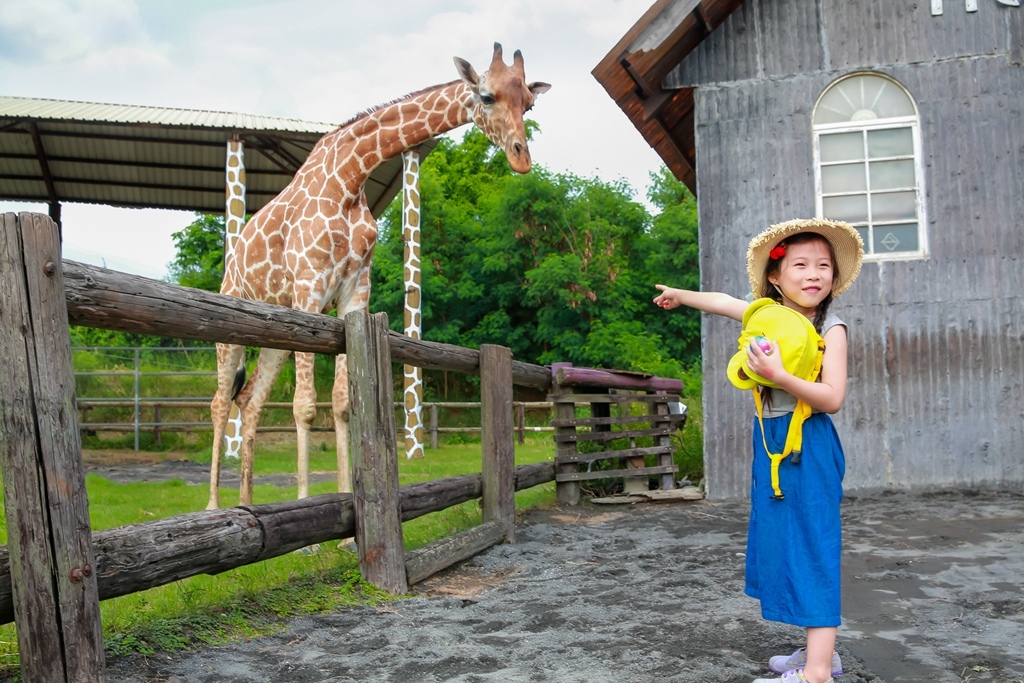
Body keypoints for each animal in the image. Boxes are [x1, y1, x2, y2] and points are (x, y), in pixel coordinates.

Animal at [206, 42, 552, 509]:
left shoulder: (352, 293)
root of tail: (233, 263)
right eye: (486, 95)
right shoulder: (309, 288)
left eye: (530, 103)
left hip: (273, 331)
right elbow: (304, 405)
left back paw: (247, 501)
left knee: (250, 399)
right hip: (233, 329)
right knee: (220, 401)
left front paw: (344, 503)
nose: (521, 158)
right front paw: (308, 510)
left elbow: (341, 403)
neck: (350, 179)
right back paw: (213, 505)